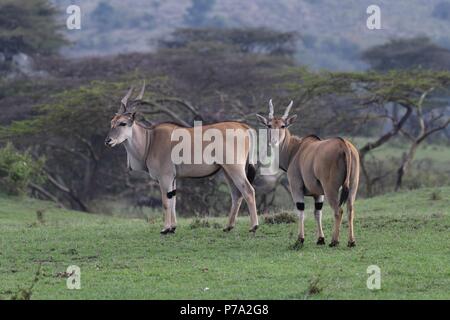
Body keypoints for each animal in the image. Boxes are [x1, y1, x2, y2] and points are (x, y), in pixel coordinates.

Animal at [105, 82, 258, 232]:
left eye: (123, 123)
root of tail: (244, 126)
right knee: (236, 194)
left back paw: (253, 226)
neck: (150, 140)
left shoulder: (165, 177)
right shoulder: (172, 178)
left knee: (248, 191)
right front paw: (173, 227)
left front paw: (165, 229)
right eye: (112, 122)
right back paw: (228, 226)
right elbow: (173, 200)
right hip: (227, 171)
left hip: (235, 168)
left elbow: (166, 202)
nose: (108, 141)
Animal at [256, 100, 358, 248]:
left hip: (330, 188)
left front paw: (300, 239)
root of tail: (343, 144)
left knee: (338, 211)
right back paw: (351, 241)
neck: (294, 150)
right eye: (269, 125)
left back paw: (334, 241)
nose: (274, 142)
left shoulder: (296, 187)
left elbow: (301, 211)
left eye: (282, 126)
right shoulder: (318, 194)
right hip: (352, 187)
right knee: (350, 210)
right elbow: (317, 212)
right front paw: (320, 239)